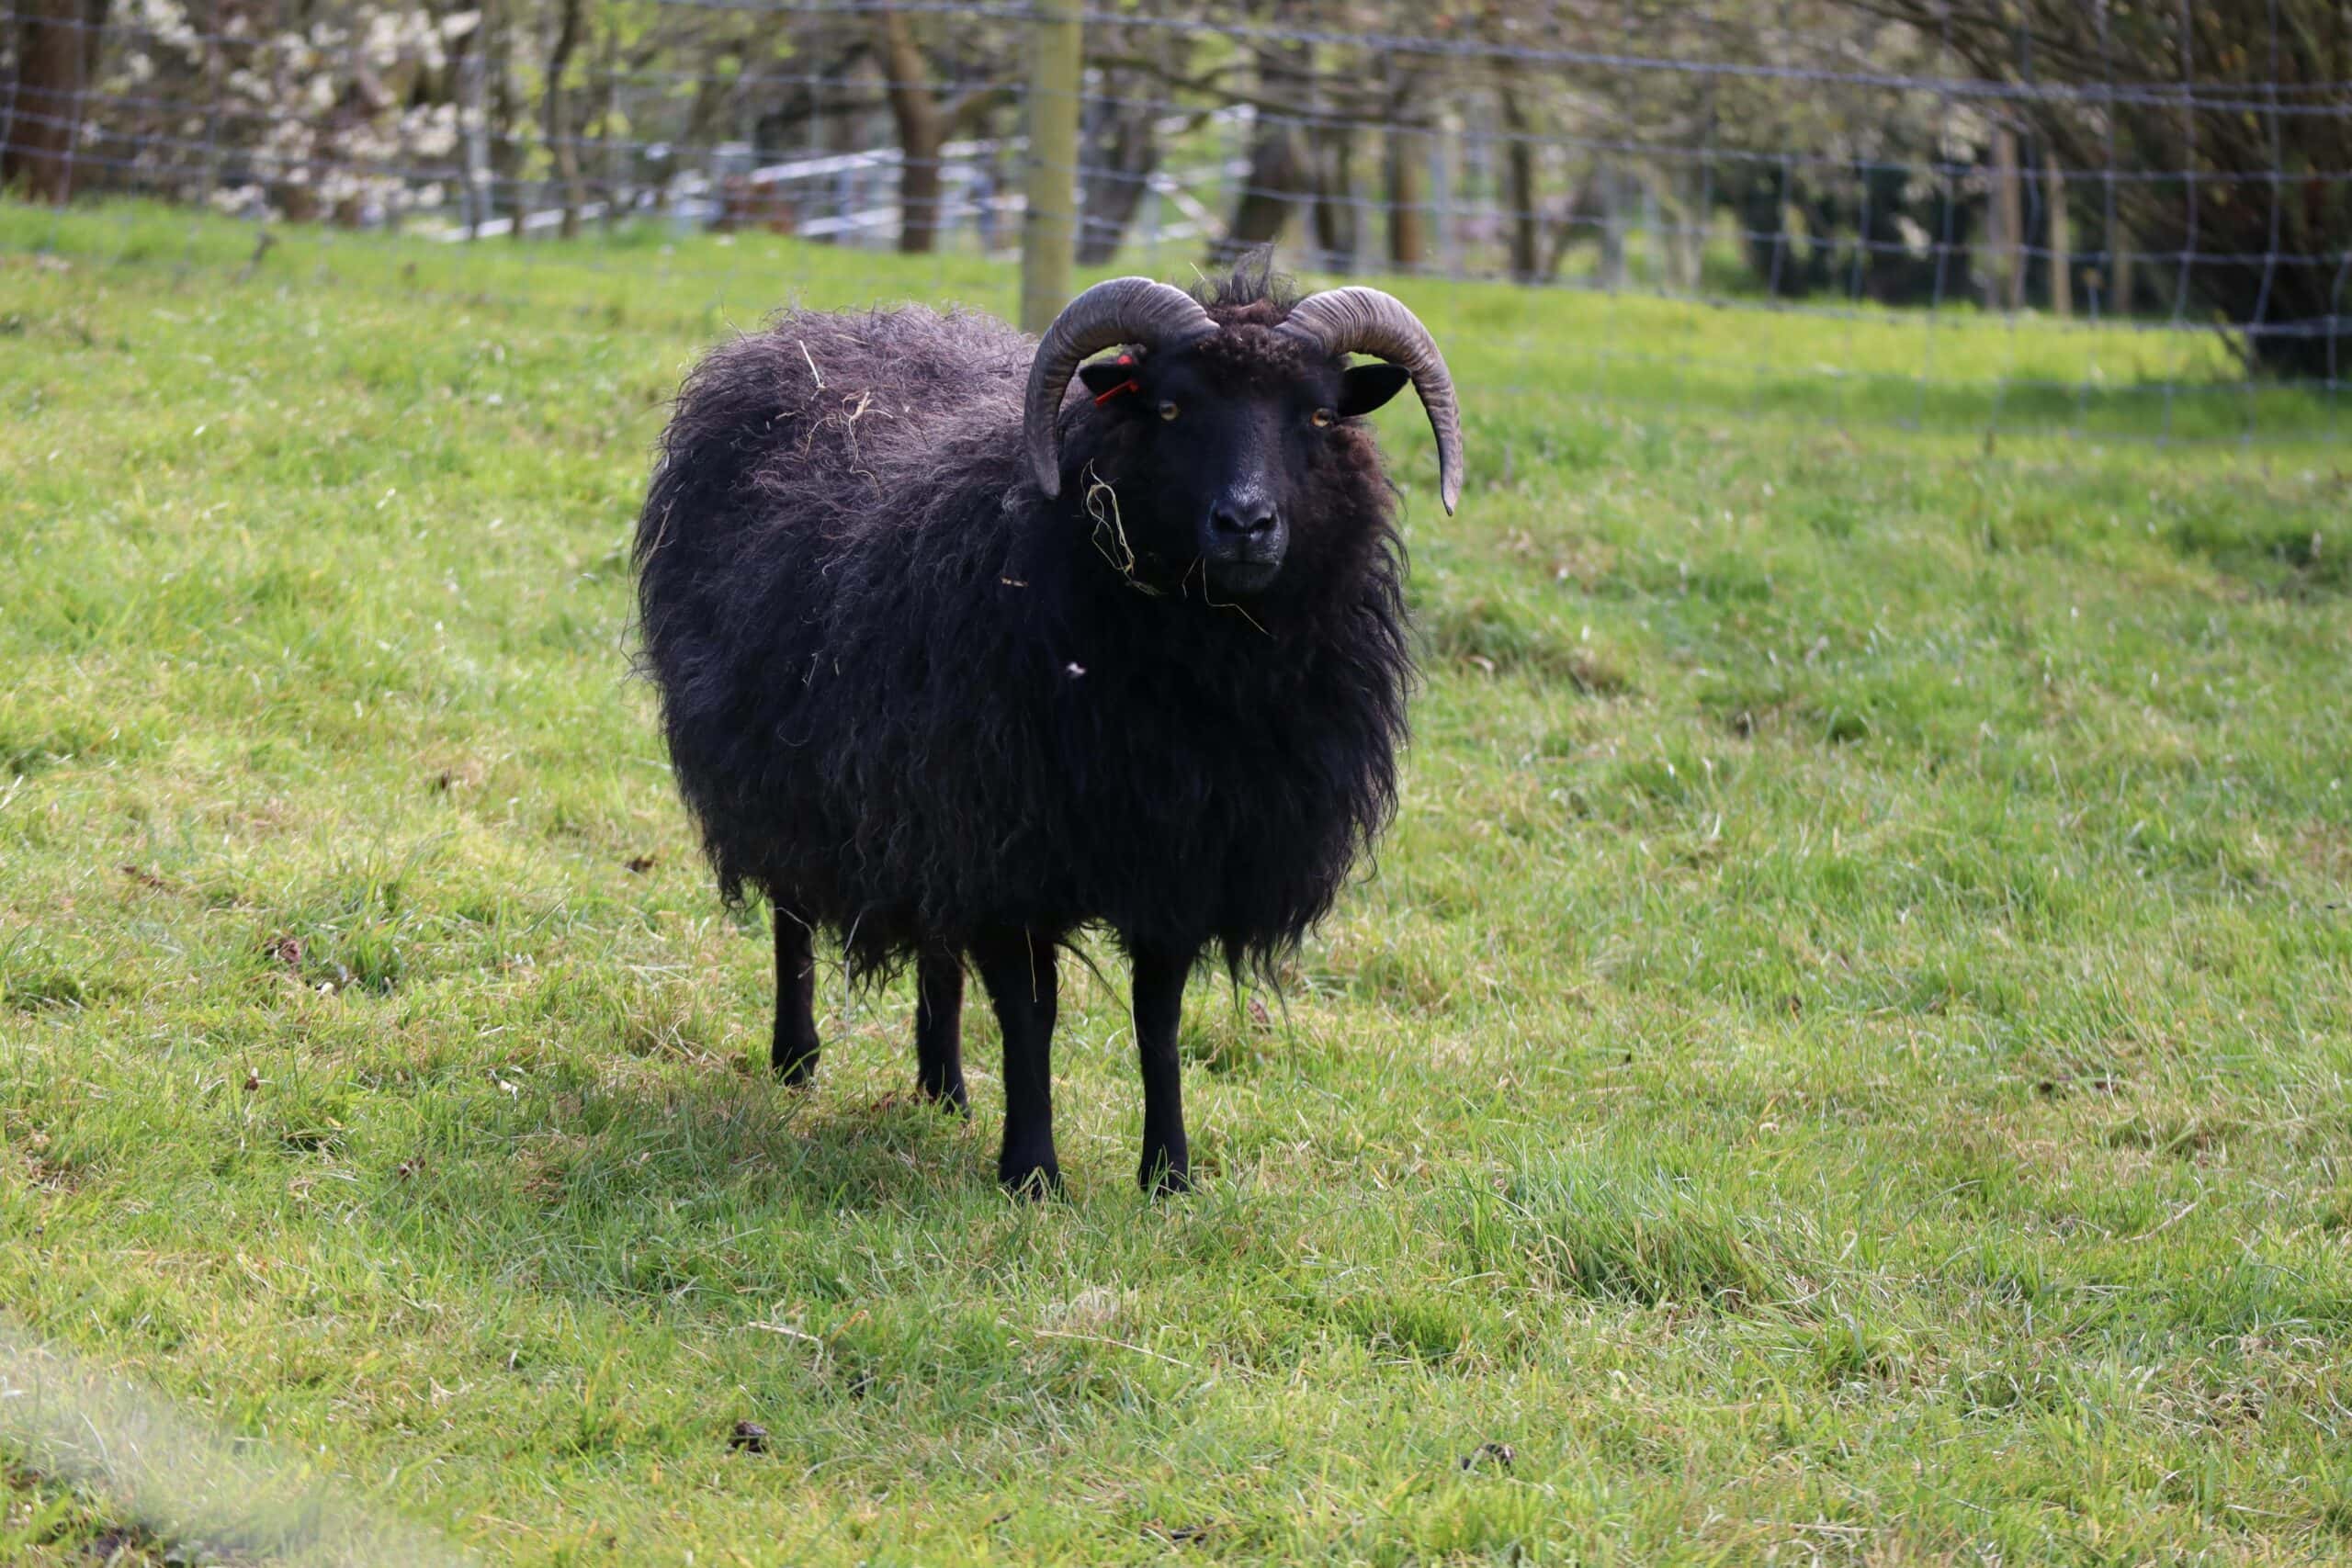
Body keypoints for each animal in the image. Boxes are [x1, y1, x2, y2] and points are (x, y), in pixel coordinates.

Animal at [632, 253, 1464, 1195]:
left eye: (1320, 414)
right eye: (1169, 408)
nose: (1247, 524)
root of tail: (812, 327)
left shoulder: (1178, 855)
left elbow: (1157, 1018)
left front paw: (1168, 1173)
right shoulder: (1008, 845)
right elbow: (1032, 1015)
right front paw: (1032, 1172)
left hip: (918, 796)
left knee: (935, 945)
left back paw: (944, 1088)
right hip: (789, 769)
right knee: (793, 914)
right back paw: (797, 1060)